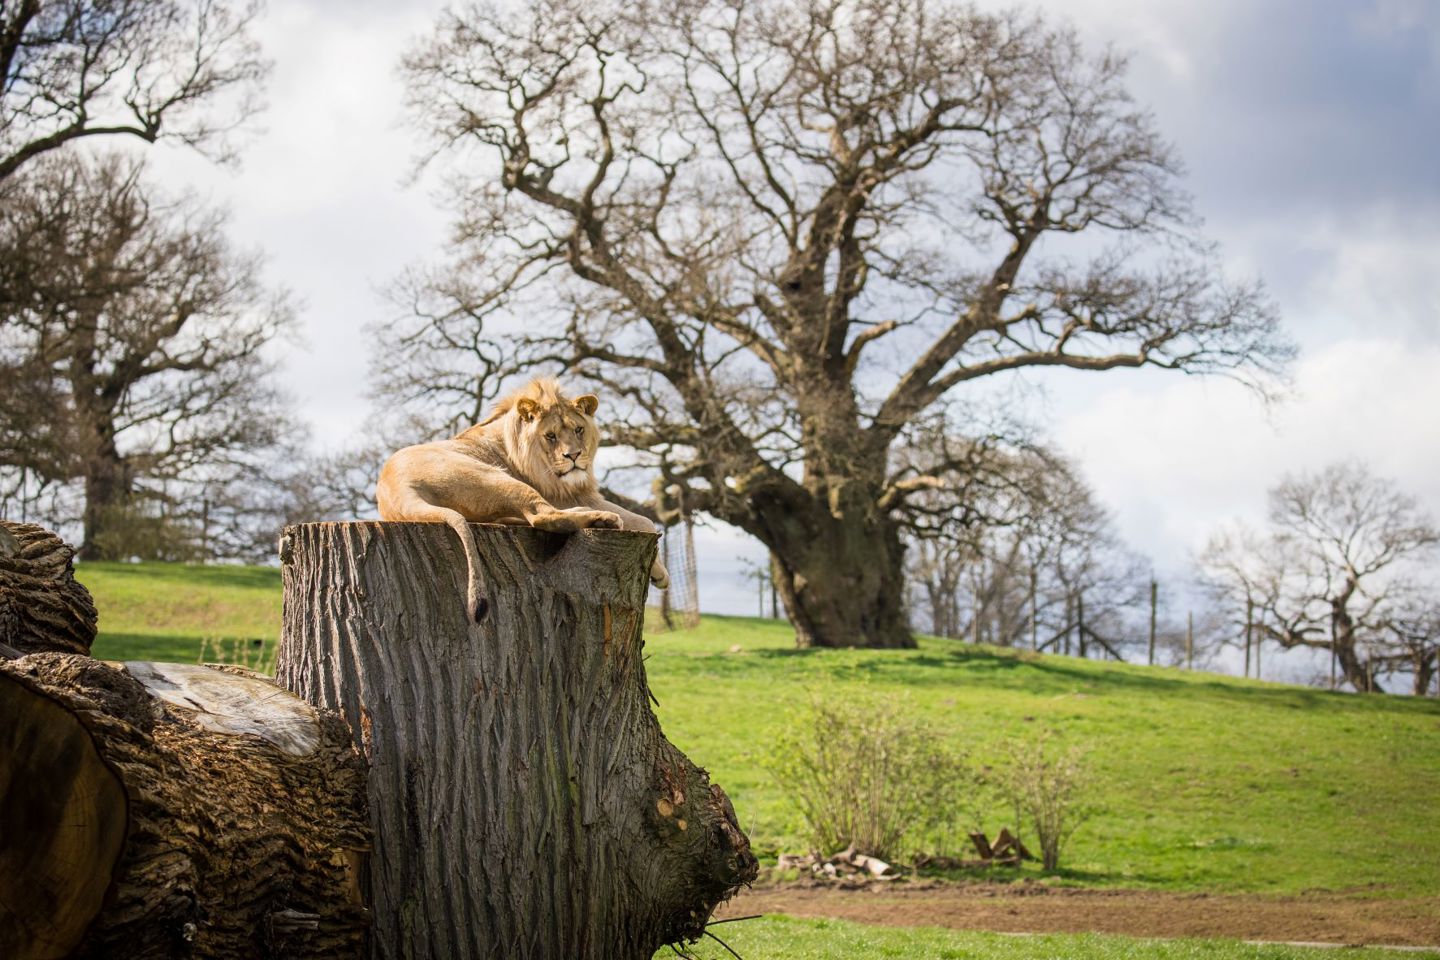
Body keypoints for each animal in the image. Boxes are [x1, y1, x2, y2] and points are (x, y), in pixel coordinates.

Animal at [371, 374, 662, 624]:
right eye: (550, 436)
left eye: (579, 429)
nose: (574, 456)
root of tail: (397, 491)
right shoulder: (564, 494)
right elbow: (645, 521)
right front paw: (661, 574)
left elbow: (644, 521)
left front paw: (659, 574)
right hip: (492, 476)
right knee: (543, 516)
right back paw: (602, 519)